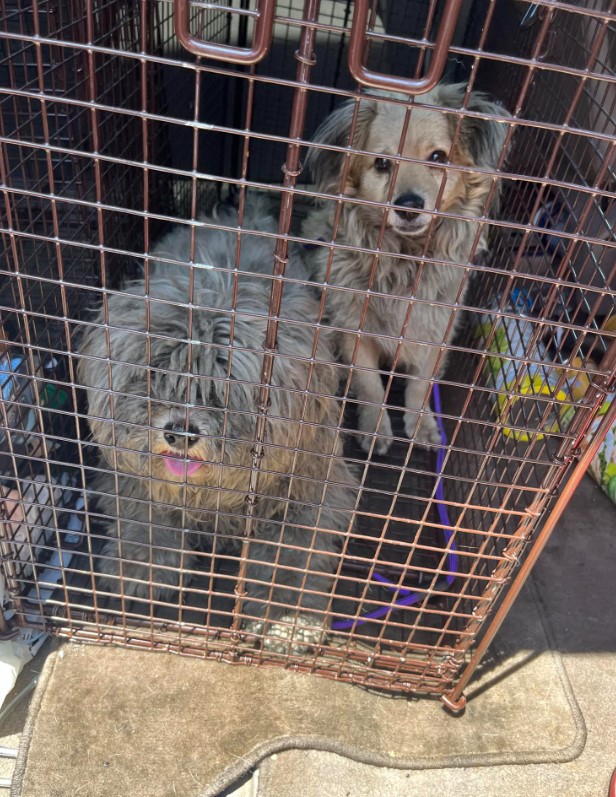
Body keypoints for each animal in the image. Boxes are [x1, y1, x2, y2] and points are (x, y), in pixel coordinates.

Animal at [78, 196, 356, 648]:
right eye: (156, 373)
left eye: (222, 386)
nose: (179, 432)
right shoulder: (132, 474)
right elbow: (144, 514)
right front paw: (141, 564)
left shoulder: (310, 487)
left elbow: (290, 555)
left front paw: (286, 618)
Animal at [304, 84, 510, 454]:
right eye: (382, 164)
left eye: (438, 157)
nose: (410, 206)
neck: (405, 259)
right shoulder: (354, 331)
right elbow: (371, 386)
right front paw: (375, 427)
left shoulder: (435, 331)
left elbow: (420, 385)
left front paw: (422, 424)